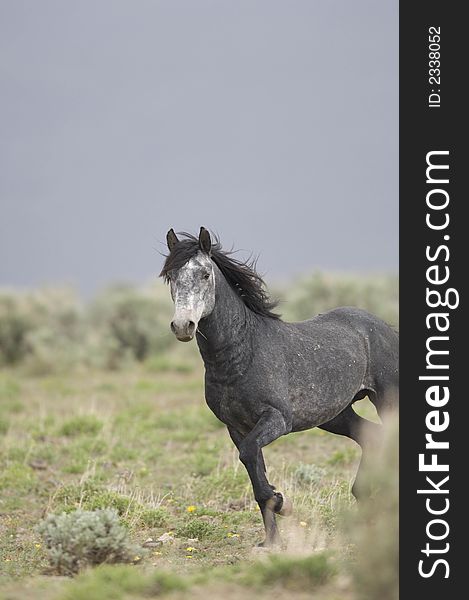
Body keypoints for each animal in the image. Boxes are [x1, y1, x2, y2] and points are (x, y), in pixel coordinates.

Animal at [159, 227, 396, 548]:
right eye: (171, 276)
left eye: (205, 274)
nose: (183, 326)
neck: (242, 354)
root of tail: (384, 327)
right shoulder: (237, 428)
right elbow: (253, 470)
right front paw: (272, 540)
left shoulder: (276, 420)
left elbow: (250, 457)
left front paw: (283, 503)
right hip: (335, 416)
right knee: (372, 436)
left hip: (386, 400)